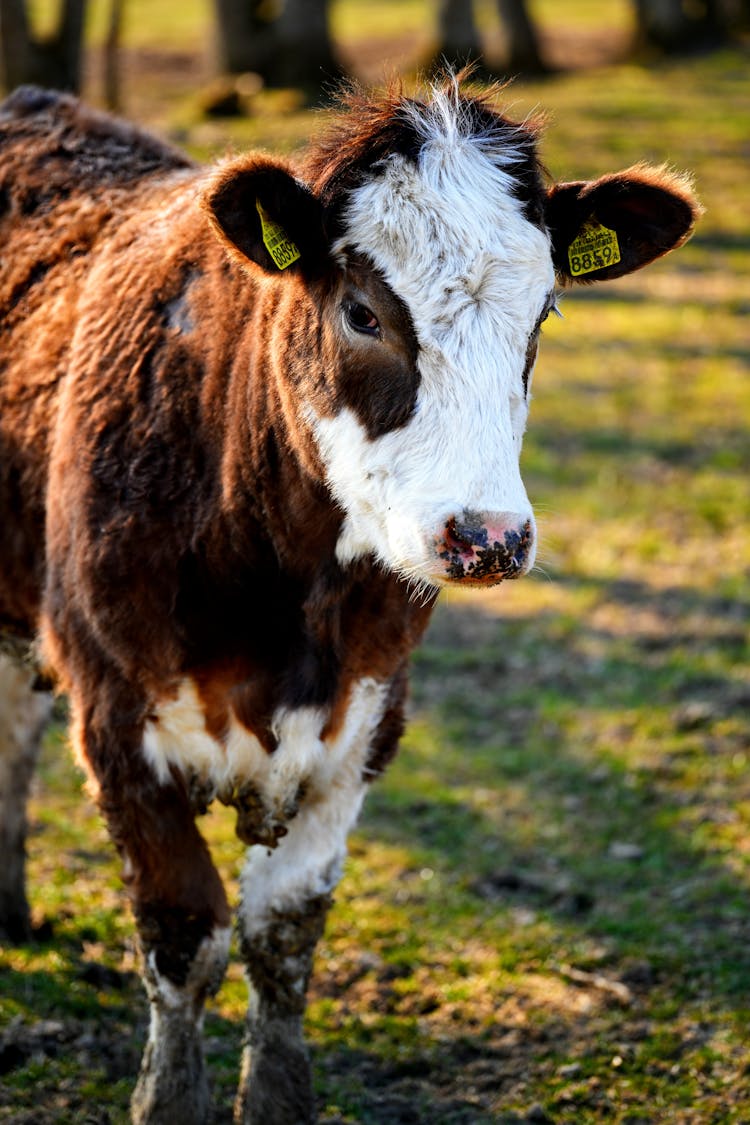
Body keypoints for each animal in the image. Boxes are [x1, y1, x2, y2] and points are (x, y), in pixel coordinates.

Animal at [0, 74, 697, 1120]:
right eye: (363, 312)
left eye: (543, 313)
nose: (488, 536)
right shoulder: (117, 715)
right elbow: (185, 934)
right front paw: (170, 1095)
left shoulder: (366, 716)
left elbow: (283, 933)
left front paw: (277, 1095)